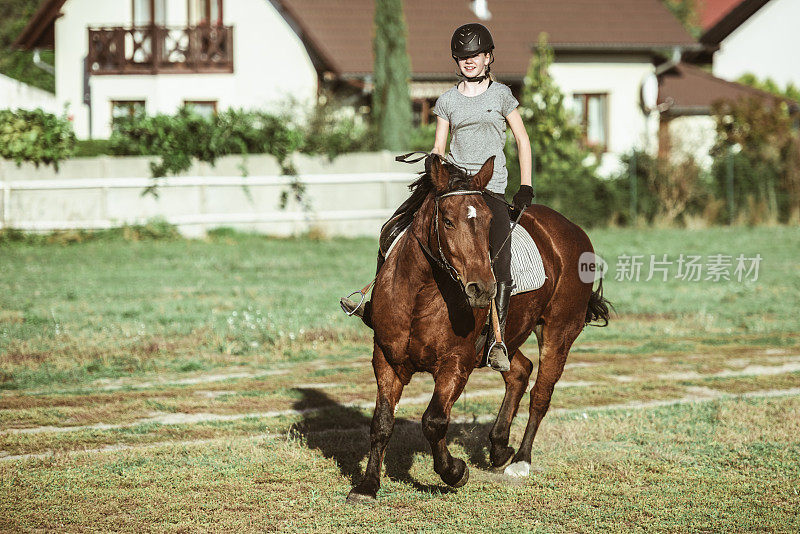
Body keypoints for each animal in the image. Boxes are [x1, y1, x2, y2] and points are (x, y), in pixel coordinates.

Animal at [346, 154, 608, 502]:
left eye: (487, 222)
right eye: (447, 221)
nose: (482, 288)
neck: (419, 295)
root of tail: (572, 229)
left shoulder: (457, 363)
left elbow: (434, 420)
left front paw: (454, 472)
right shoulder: (386, 359)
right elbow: (382, 423)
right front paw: (367, 486)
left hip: (559, 331)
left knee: (541, 394)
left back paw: (520, 460)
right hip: (507, 339)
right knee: (520, 370)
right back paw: (499, 447)